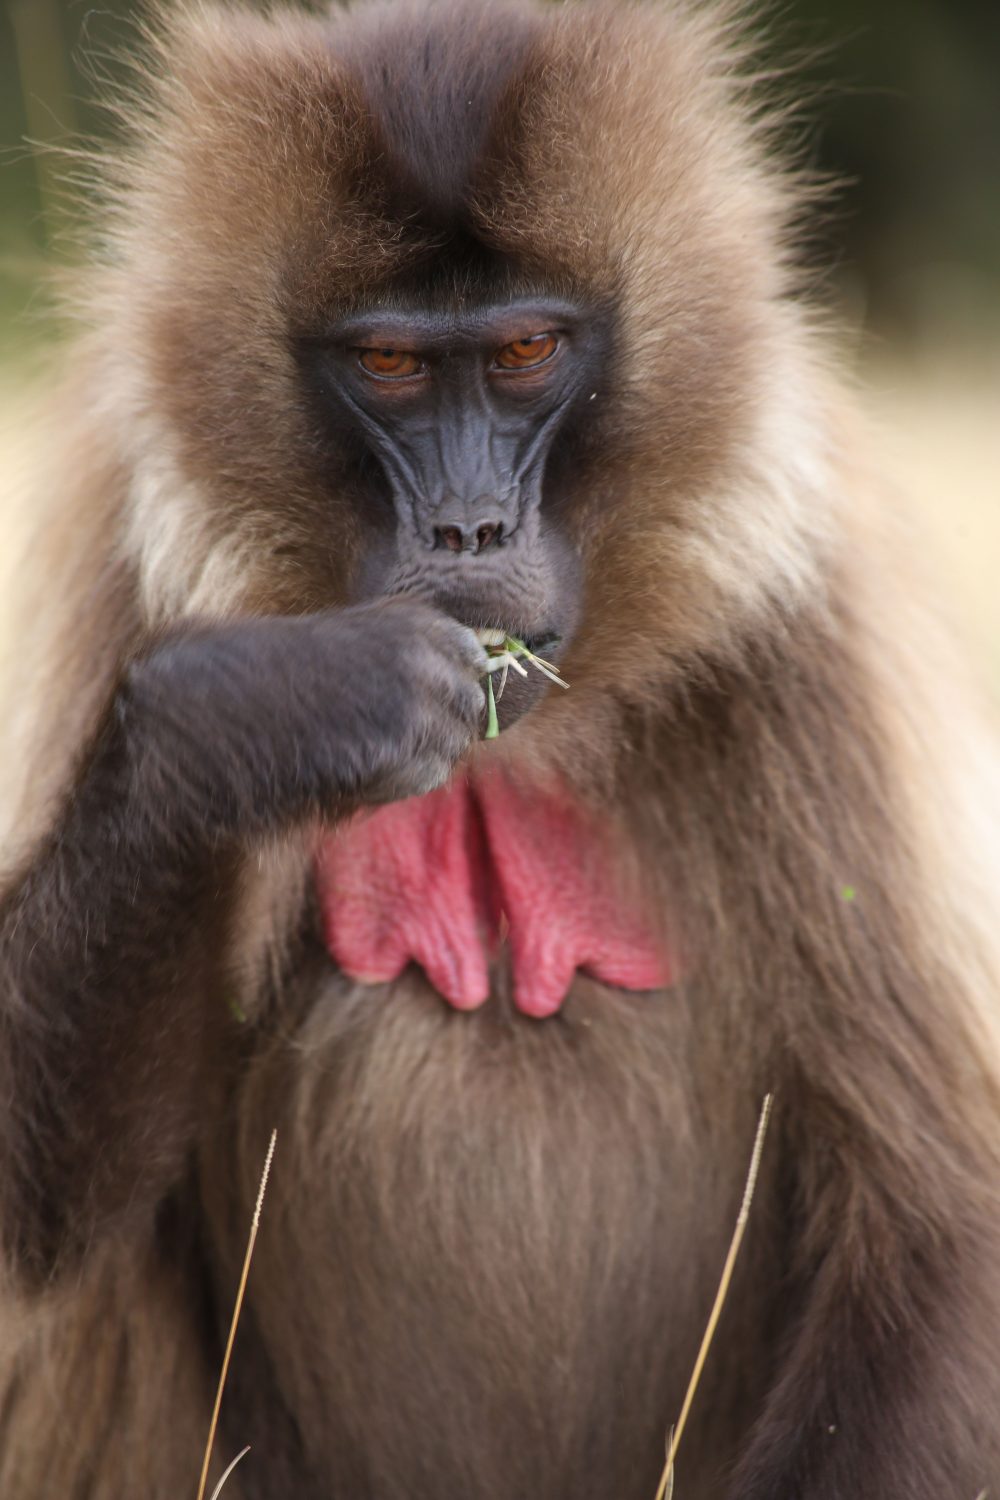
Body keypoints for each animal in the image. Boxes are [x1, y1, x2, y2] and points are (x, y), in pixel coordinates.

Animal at [1, 0, 1000, 1496]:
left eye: (526, 352)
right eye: (392, 365)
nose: (468, 530)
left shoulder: (809, 615)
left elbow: (938, 1216)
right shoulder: (131, 552)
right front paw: (258, 720)